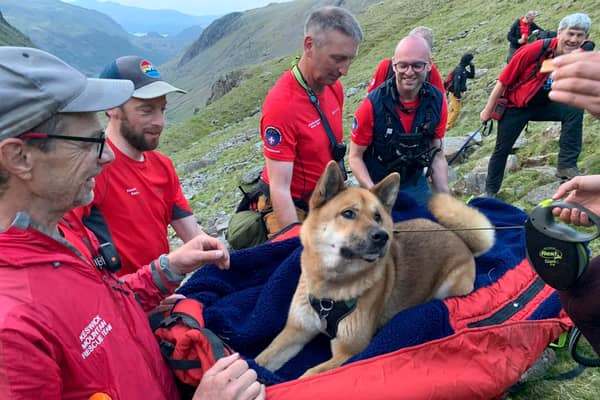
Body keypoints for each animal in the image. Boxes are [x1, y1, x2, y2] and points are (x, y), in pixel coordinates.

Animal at [255, 161, 494, 376]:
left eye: (378, 216)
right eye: (348, 213)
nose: (382, 236)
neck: (330, 290)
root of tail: (459, 238)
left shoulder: (348, 351)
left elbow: (309, 375)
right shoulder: (295, 331)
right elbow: (262, 359)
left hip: (451, 286)